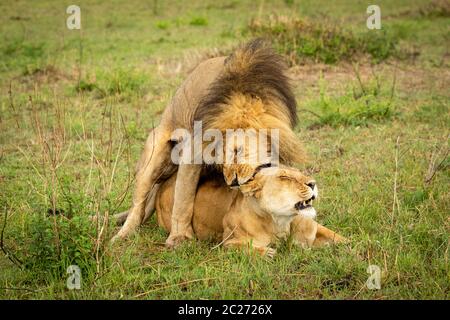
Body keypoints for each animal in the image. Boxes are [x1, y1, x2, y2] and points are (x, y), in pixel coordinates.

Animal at [113, 38, 306, 246]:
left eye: (237, 151)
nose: (233, 181)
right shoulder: (193, 149)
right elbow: (183, 198)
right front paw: (180, 237)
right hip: (154, 155)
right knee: (138, 204)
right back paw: (124, 234)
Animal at [154, 166, 344, 256]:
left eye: (301, 173)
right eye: (284, 177)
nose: (313, 183)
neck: (280, 222)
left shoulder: (315, 228)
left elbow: (337, 237)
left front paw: (349, 247)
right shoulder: (227, 243)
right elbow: (244, 247)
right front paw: (267, 253)